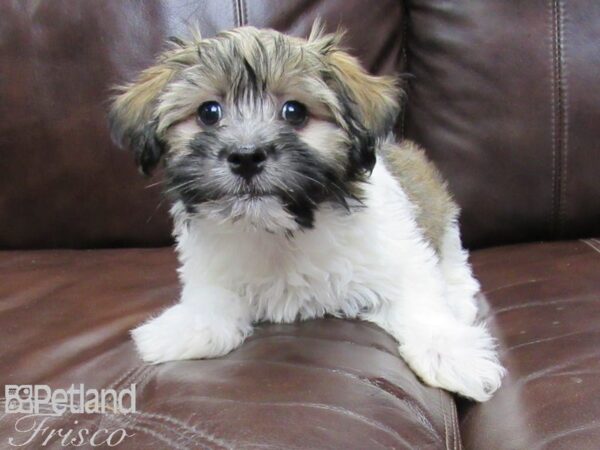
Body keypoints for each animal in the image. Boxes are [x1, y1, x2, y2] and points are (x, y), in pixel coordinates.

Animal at [109, 22, 506, 400]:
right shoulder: (212, 268)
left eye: (294, 111)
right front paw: (187, 326)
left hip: (442, 220)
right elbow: (211, 298)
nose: (246, 156)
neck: (278, 229)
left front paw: (452, 355)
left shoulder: (400, 253)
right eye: (209, 113)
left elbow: (421, 300)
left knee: (454, 264)